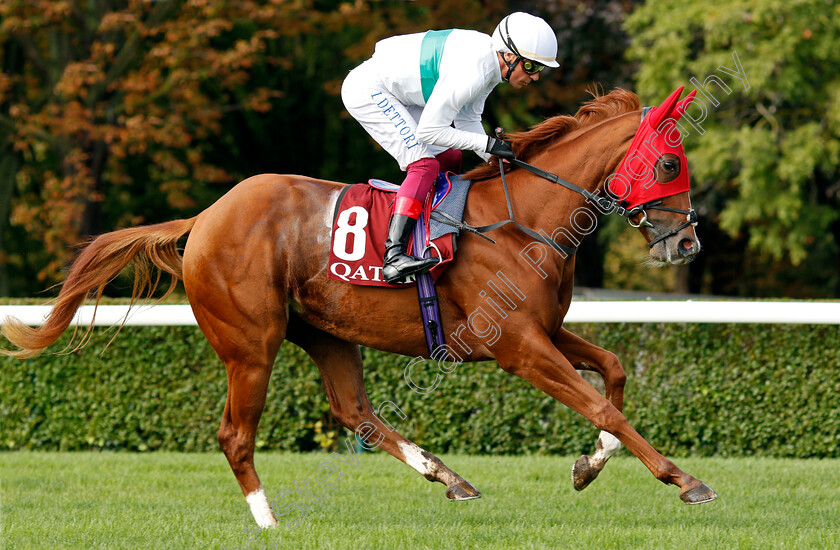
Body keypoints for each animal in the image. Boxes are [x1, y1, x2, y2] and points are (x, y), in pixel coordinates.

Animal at [1, 86, 716, 532]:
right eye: (670, 162)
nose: (687, 242)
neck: (523, 221)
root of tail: (204, 218)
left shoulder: (543, 330)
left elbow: (614, 370)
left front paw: (590, 466)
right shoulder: (517, 345)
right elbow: (600, 403)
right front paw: (684, 480)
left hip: (325, 333)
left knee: (357, 415)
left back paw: (448, 477)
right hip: (251, 343)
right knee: (237, 434)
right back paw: (269, 519)